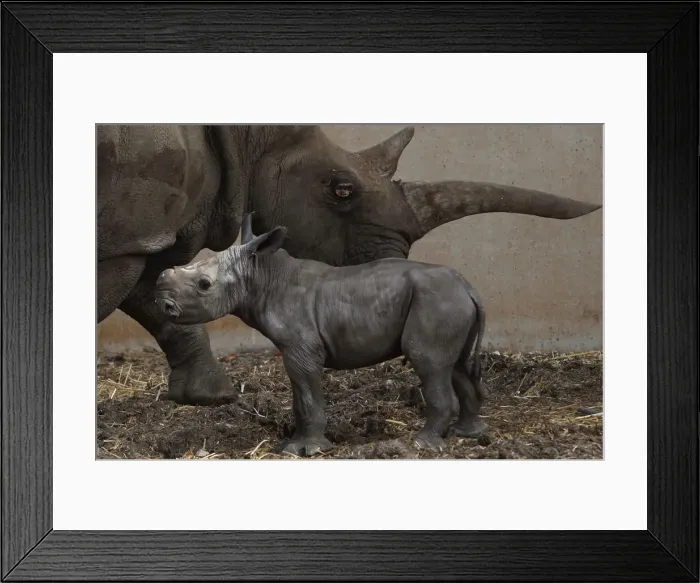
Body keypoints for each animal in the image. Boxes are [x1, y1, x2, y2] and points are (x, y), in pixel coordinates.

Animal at [97, 124, 601, 406]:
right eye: (342, 190)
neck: (246, 138)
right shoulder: (128, 233)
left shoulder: (132, 234)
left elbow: (157, 297)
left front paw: (211, 397)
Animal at [154, 213, 488, 455]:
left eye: (204, 285)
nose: (162, 303)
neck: (261, 274)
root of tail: (469, 288)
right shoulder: (294, 346)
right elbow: (299, 395)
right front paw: (290, 443)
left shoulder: (301, 346)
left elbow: (306, 393)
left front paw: (306, 450)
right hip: (449, 302)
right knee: (455, 366)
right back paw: (467, 434)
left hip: (437, 302)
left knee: (428, 361)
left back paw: (422, 443)